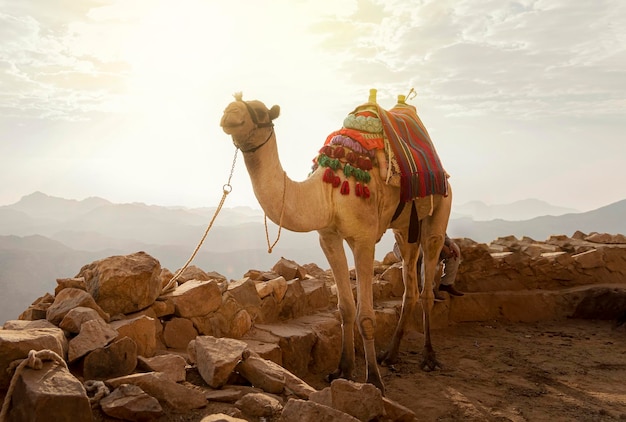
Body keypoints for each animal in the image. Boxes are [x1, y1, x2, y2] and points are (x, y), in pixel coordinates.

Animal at [219, 93, 448, 396]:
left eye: (258, 111)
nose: (229, 113)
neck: (328, 191)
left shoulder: (363, 239)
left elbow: (366, 316)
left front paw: (374, 381)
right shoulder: (328, 236)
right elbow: (345, 308)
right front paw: (343, 370)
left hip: (439, 211)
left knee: (427, 282)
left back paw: (429, 357)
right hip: (403, 228)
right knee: (409, 280)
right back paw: (391, 355)